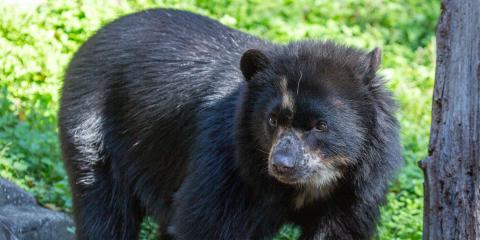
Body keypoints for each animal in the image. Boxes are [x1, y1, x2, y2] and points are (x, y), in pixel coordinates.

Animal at [59, 7, 402, 240]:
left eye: (320, 126)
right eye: (272, 120)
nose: (282, 164)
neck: (312, 183)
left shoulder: (355, 191)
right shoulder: (229, 167)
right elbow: (205, 224)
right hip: (94, 132)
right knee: (104, 209)